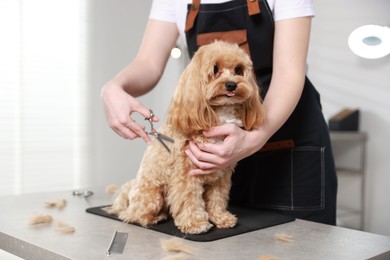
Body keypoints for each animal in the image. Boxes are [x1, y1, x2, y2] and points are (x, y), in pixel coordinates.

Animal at [106, 40, 266, 234]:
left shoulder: (221, 173)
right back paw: (155, 217)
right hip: (153, 197)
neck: (220, 113)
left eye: (238, 69)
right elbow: (189, 199)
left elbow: (217, 198)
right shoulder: (186, 174)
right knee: (133, 215)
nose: (231, 85)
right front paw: (195, 223)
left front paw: (220, 217)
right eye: (215, 69)